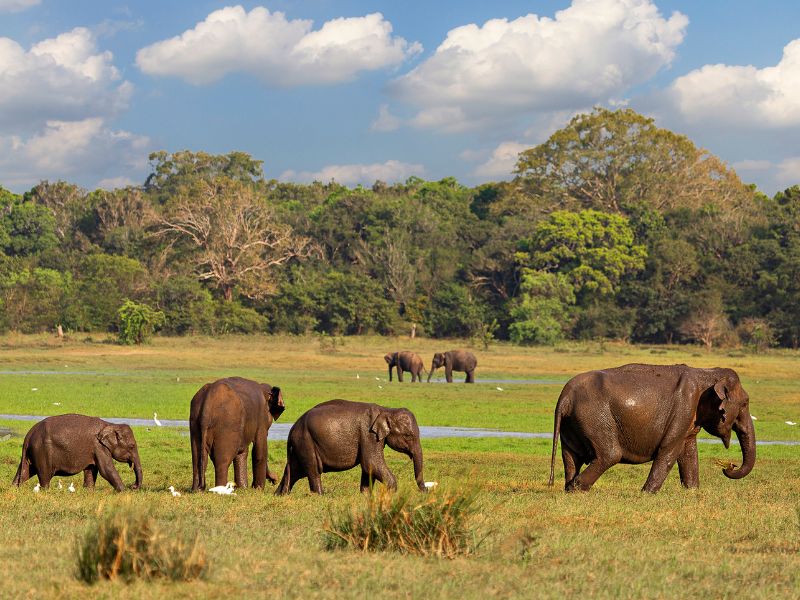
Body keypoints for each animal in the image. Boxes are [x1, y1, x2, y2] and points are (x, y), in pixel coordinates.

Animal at [11, 412, 143, 492]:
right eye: (132, 446)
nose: (133, 486)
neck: (110, 424)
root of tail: (28, 435)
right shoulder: (99, 447)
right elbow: (106, 470)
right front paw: (124, 492)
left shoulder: (94, 449)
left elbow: (91, 470)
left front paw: (89, 491)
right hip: (42, 452)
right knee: (44, 476)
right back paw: (45, 491)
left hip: (33, 452)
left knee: (25, 472)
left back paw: (14, 489)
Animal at [276, 400, 424, 494]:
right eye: (408, 435)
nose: (425, 491)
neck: (386, 409)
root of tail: (292, 429)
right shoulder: (368, 435)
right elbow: (371, 463)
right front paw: (392, 494)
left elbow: (368, 468)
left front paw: (365, 495)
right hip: (306, 442)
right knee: (313, 471)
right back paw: (320, 495)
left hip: (300, 446)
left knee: (294, 472)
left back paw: (280, 494)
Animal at [552, 364, 756, 494]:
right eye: (745, 403)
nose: (729, 466)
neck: (706, 373)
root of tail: (565, 397)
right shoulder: (683, 409)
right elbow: (669, 450)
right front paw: (647, 493)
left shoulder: (690, 417)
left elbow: (688, 451)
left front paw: (692, 491)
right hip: (594, 417)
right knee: (610, 455)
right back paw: (577, 488)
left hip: (572, 423)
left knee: (571, 456)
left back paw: (569, 488)